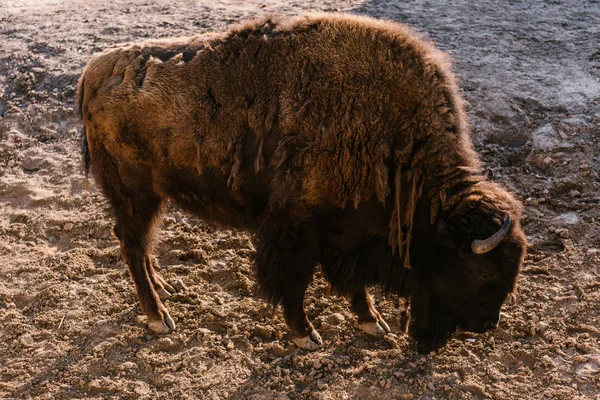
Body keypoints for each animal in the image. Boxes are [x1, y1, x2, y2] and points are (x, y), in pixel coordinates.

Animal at [77, 12, 528, 352]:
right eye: (484, 272)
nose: (487, 324)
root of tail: (94, 73)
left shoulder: (344, 236)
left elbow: (354, 285)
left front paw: (373, 323)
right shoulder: (298, 230)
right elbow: (295, 282)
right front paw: (306, 335)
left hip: (152, 197)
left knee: (141, 245)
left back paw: (166, 288)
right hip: (136, 195)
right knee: (132, 244)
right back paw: (159, 317)